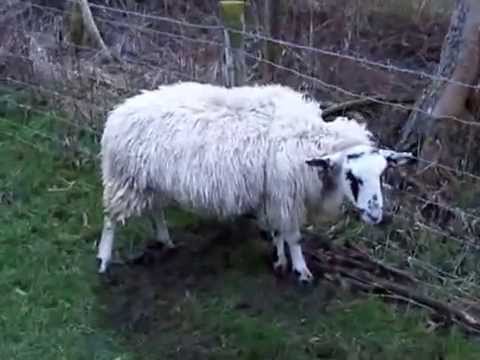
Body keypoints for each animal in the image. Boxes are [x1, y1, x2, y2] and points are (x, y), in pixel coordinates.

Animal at [95, 81, 414, 284]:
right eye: (352, 175)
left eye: (382, 173)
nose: (375, 214)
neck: (310, 141)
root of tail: (117, 114)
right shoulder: (285, 193)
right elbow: (293, 235)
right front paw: (301, 270)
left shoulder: (273, 193)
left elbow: (278, 231)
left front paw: (280, 261)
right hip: (124, 180)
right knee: (111, 218)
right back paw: (104, 260)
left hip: (148, 181)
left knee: (155, 210)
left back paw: (166, 240)